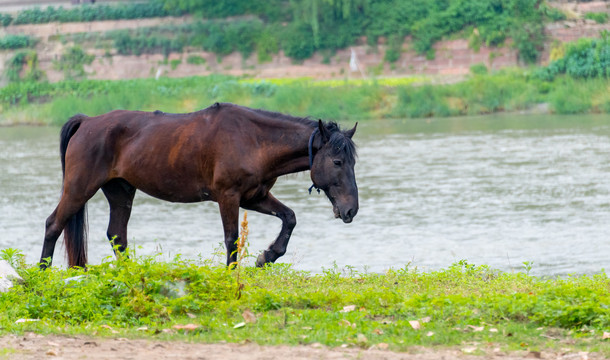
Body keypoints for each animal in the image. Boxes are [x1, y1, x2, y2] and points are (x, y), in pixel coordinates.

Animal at [40, 102, 356, 268]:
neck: (253, 140)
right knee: (54, 224)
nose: (351, 210)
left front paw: (267, 256)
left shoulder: (254, 196)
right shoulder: (228, 197)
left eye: (354, 161)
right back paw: (42, 271)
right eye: (338, 161)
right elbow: (231, 239)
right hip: (79, 188)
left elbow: (289, 217)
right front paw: (233, 274)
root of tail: (86, 122)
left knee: (117, 235)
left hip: (120, 191)